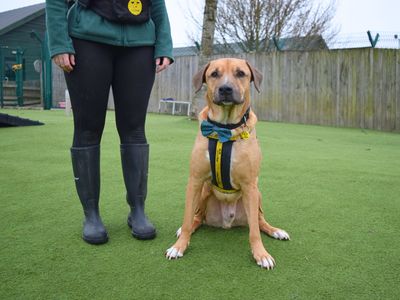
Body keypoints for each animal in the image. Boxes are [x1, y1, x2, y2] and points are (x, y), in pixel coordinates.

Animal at [164, 57, 290, 268]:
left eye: (240, 73)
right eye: (214, 74)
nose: (225, 89)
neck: (225, 128)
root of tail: (227, 221)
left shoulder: (249, 185)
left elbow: (254, 232)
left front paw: (261, 254)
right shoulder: (195, 180)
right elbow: (187, 218)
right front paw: (179, 246)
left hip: (257, 194)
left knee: (259, 222)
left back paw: (275, 230)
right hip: (204, 191)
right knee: (197, 217)